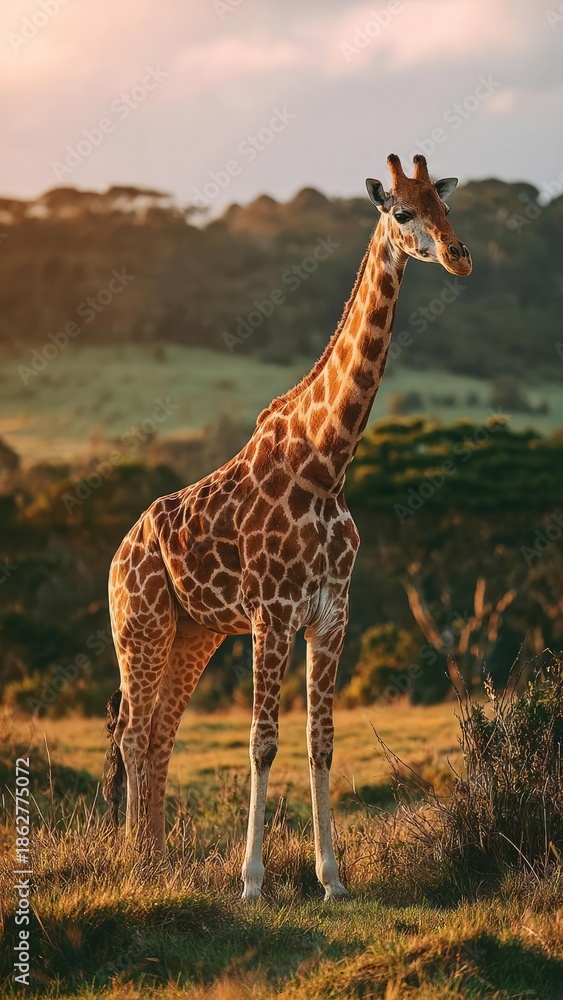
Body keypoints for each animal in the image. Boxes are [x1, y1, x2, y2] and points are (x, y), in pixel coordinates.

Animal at [104, 153, 472, 900]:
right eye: (402, 211)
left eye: (446, 206)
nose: (459, 256)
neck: (325, 463)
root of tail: (117, 555)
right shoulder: (272, 613)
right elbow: (262, 741)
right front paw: (252, 882)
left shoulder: (331, 612)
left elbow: (319, 741)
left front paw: (332, 879)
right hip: (141, 623)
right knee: (131, 732)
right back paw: (134, 863)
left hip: (195, 631)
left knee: (158, 733)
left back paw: (156, 864)